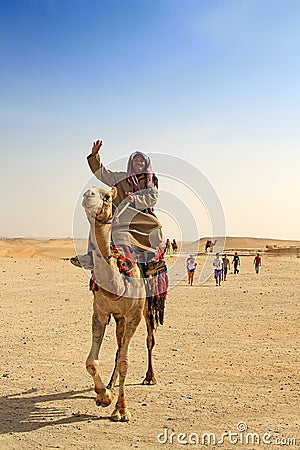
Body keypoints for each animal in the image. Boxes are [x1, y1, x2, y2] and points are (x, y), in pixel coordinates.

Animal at [81, 186, 158, 422]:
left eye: (106, 196)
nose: (88, 195)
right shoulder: (100, 312)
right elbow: (92, 361)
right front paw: (103, 395)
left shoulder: (134, 314)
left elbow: (125, 361)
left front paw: (121, 410)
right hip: (119, 317)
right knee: (117, 347)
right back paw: (110, 385)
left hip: (147, 308)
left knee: (150, 339)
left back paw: (150, 377)